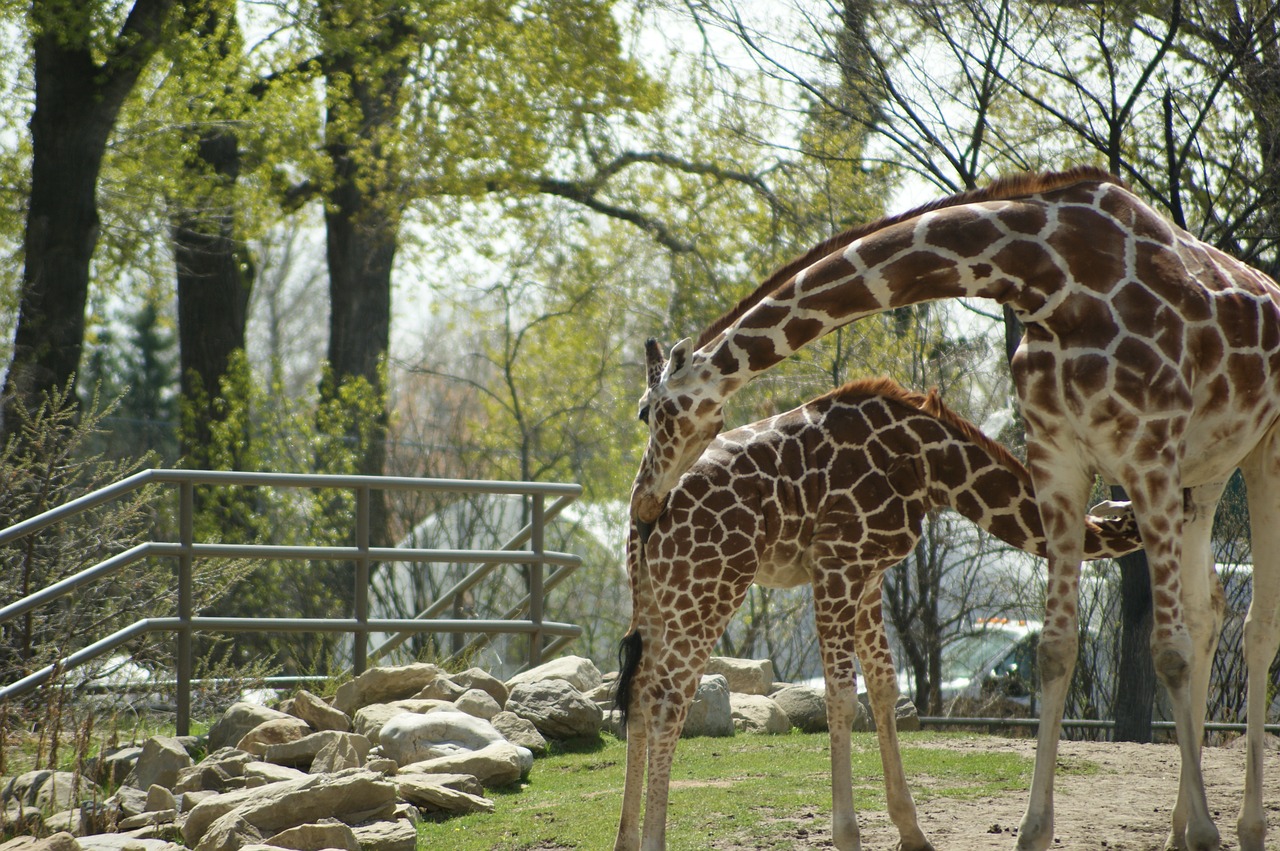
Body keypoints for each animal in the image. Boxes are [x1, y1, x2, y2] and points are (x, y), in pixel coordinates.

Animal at [614, 360, 1146, 849]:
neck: (932, 466)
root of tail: (644, 516)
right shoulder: (837, 562)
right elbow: (842, 698)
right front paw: (849, 835)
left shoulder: (870, 575)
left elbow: (885, 689)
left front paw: (913, 832)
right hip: (710, 589)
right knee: (669, 703)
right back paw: (654, 840)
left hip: (658, 598)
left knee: (638, 696)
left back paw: (626, 841)